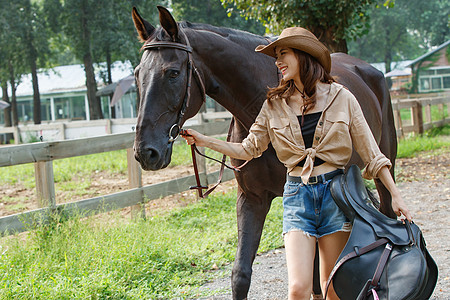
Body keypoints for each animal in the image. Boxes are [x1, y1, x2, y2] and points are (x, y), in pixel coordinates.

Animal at [131, 5, 398, 300]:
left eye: (173, 73)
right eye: (137, 74)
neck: (261, 102)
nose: (146, 151)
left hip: (385, 167)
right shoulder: (252, 198)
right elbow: (241, 274)